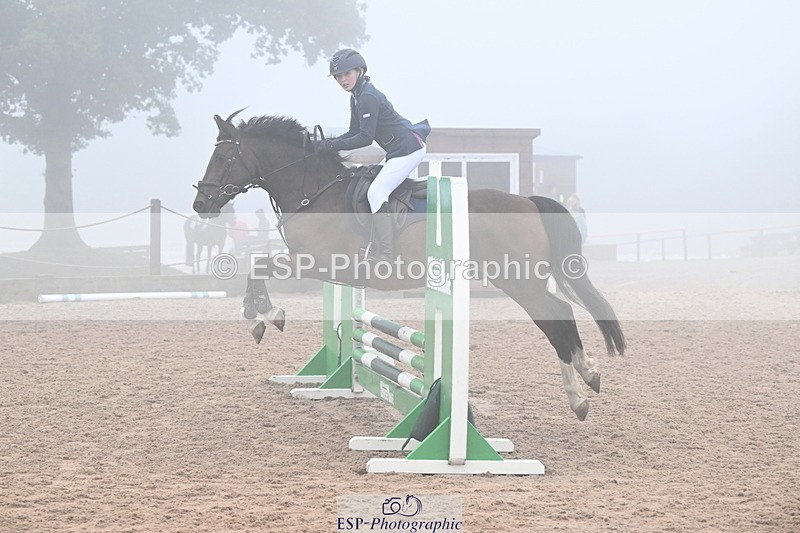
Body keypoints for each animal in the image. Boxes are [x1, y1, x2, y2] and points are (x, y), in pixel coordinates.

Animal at [191, 111, 626, 421]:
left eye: (223, 156)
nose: (200, 204)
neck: (313, 190)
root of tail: (529, 202)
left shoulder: (318, 262)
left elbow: (259, 266)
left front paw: (263, 316)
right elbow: (257, 265)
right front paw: (261, 316)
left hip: (519, 281)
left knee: (557, 317)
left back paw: (577, 396)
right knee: (563, 312)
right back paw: (589, 373)